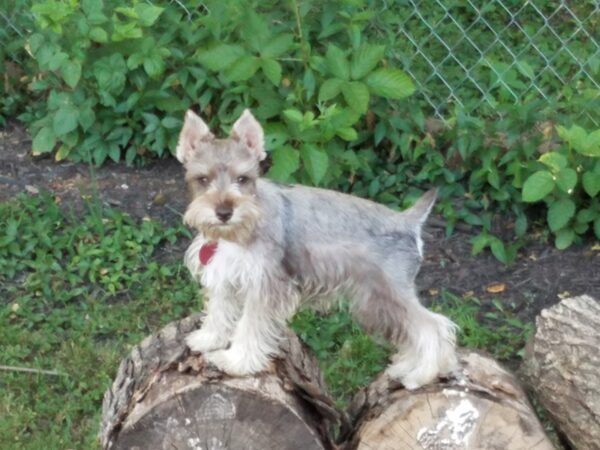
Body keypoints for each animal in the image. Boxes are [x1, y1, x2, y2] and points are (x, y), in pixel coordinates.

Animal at [176, 110, 458, 390]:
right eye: (202, 179)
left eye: (243, 179)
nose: (224, 212)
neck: (238, 231)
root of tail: (408, 221)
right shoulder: (223, 275)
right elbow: (219, 311)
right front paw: (207, 339)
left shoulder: (266, 286)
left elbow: (250, 325)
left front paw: (236, 361)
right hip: (377, 302)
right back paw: (406, 368)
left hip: (389, 293)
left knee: (432, 326)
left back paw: (420, 376)